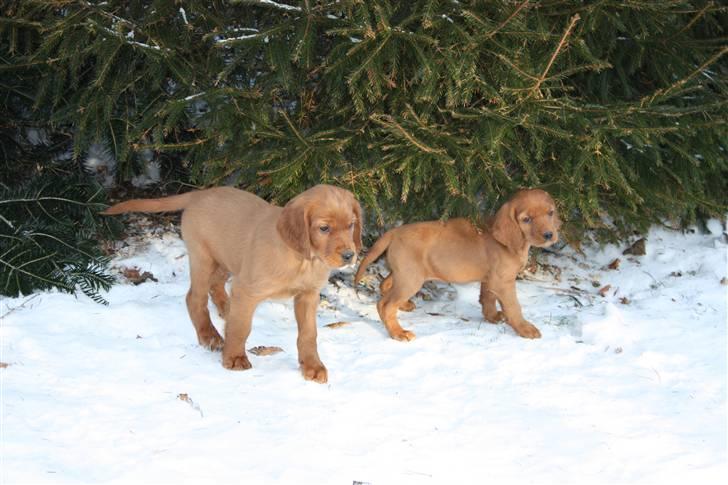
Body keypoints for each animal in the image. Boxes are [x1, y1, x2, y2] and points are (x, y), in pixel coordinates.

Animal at [103, 185, 362, 382]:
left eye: (351, 225)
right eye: (324, 228)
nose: (350, 255)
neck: (302, 260)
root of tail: (200, 194)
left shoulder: (308, 296)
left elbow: (308, 334)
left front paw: (312, 366)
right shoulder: (247, 290)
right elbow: (241, 328)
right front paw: (234, 358)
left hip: (226, 259)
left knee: (216, 286)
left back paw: (226, 310)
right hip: (203, 258)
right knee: (195, 297)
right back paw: (210, 335)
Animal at [356, 188, 560, 340]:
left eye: (550, 213)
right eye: (526, 219)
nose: (549, 235)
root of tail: (394, 232)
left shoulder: (490, 279)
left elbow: (488, 299)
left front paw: (492, 317)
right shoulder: (503, 282)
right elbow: (514, 307)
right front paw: (525, 329)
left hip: (404, 274)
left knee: (385, 285)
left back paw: (404, 306)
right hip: (410, 278)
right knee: (385, 305)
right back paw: (398, 332)